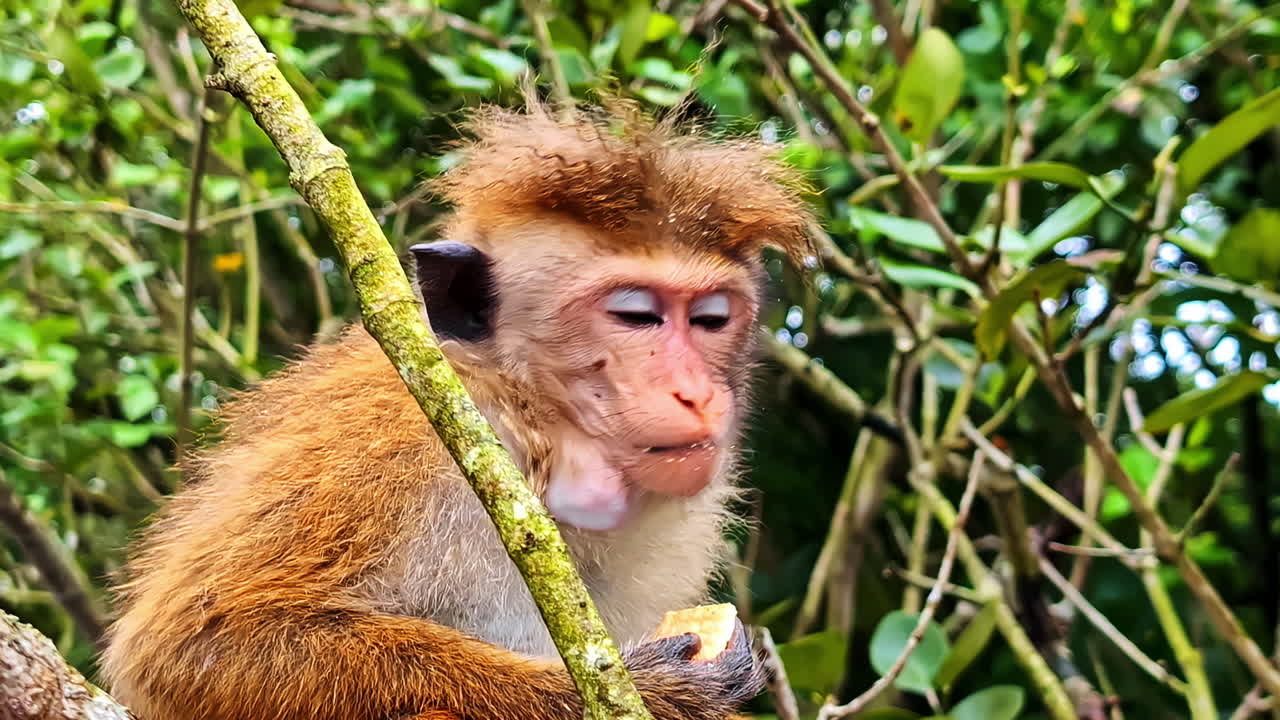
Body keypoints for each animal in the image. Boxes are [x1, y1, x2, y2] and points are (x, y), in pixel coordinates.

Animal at [100, 98, 815, 720]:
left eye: (711, 319)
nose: (696, 393)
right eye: (636, 316)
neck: (532, 438)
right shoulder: (393, 444)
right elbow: (194, 642)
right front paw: (659, 694)